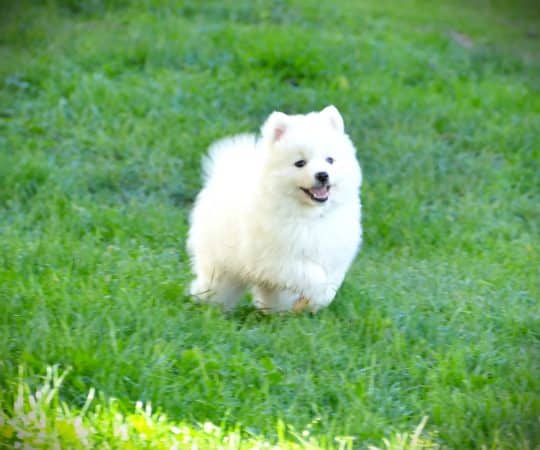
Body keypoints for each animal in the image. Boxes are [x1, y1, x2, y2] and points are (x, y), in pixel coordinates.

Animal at [187, 104, 362, 312]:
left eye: (330, 160)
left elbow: (331, 282)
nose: (322, 175)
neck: (309, 215)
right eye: (300, 163)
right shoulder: (279, 259)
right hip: (222, 264)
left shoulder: (335, 254)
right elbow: (314, 276)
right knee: (216, 287)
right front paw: (315, 294)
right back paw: (207, 307)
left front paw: (317, 301)